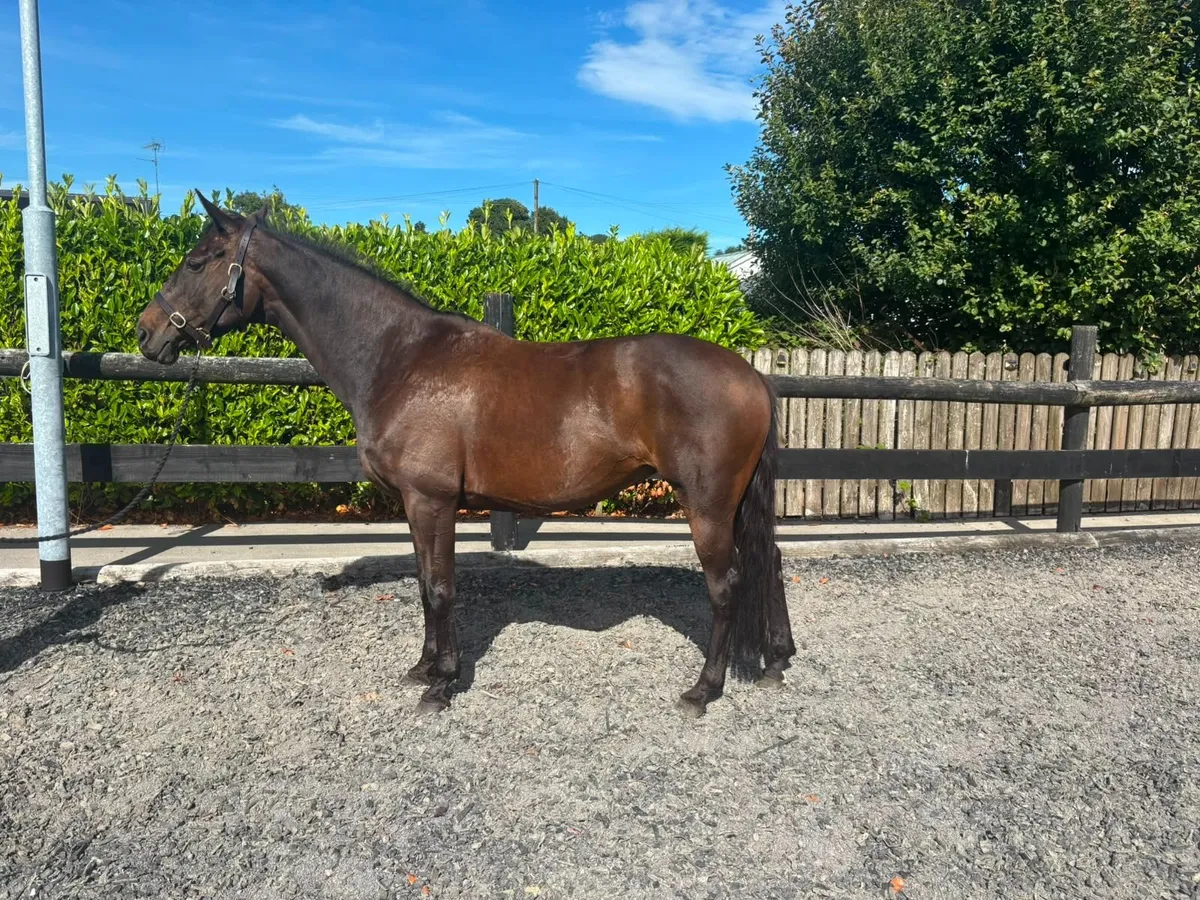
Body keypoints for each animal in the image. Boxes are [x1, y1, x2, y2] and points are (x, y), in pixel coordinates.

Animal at [135, 194, 795, 717]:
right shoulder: (415, 504)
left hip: (707, 505)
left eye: (197, 260)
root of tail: (752, 376)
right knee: (769, 561)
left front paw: (442, 685)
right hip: (735, 504)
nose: (146, 332)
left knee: (727, 584)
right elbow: (425, 581)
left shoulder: (432, 500)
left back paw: (704, 689)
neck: (398, 358)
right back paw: (773, 661)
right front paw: (425, 668)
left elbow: (441, 588)